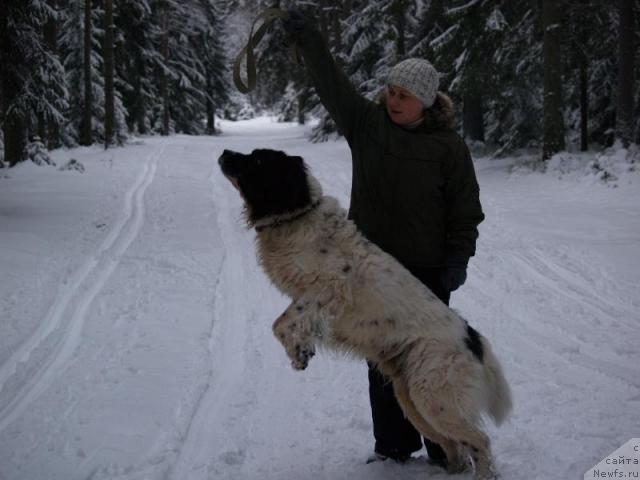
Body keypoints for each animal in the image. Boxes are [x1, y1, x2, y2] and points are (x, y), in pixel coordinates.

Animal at [218, 148, 512, 478]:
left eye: (257, 160)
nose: (224, 152)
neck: (297, 214)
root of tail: (473, 338)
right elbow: (290, 323)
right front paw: (302, 350)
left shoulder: (328, 288)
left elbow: (280, 323)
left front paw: (299, 353)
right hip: (413, 399)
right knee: (455, 447)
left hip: (435, 398)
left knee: (480, 441)